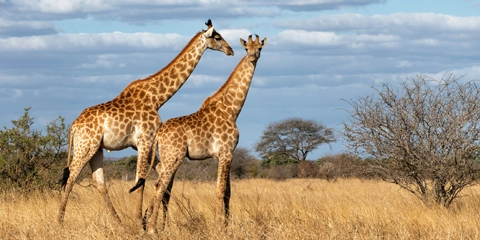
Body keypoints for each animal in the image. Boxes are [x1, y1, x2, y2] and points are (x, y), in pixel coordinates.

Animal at [57, 19, 233, 227]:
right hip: (85, 146)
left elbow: (160, 176)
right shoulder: (145, 140)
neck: (157, 98)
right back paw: (59, 222)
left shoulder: (142, 144)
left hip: (96, 149)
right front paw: (139, 221)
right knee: (71, 177)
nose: (230, 50)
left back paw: (119, 223)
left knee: (98, 182)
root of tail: (74, 126)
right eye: (217, 37)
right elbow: (141, 181)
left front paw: (147, 220)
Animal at [142, 34, 268, 233]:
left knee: (161, 186)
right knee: (160, 186)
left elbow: (228, 192)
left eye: (260, 48)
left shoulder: (223, 155)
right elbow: (220, 190)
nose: (252, 56)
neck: (231, 109)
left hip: (166, 158)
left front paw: (226, 225)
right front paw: (219, 226)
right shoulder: (226, 152)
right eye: (246, 48)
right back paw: (154, 229)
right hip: (173, 157)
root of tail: (158, 135)